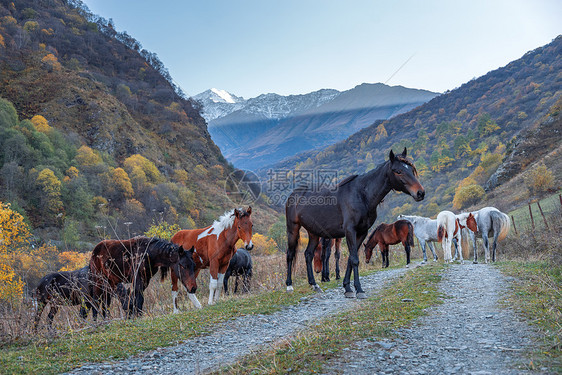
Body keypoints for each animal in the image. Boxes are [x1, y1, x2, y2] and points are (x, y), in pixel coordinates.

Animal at [284, 148, 420, 298]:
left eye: (411, 169)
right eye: (398, 171)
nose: (420, 193)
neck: (361, 195)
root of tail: (294, 194)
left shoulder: (361, 232)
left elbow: (350, 258)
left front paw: (347, 287)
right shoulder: (350, 231)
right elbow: (354, 259)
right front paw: (359, 289)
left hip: (313, 233)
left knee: (308, 255)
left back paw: (314, 284)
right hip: (293, 229)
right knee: (290, 254)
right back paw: (289, 285)